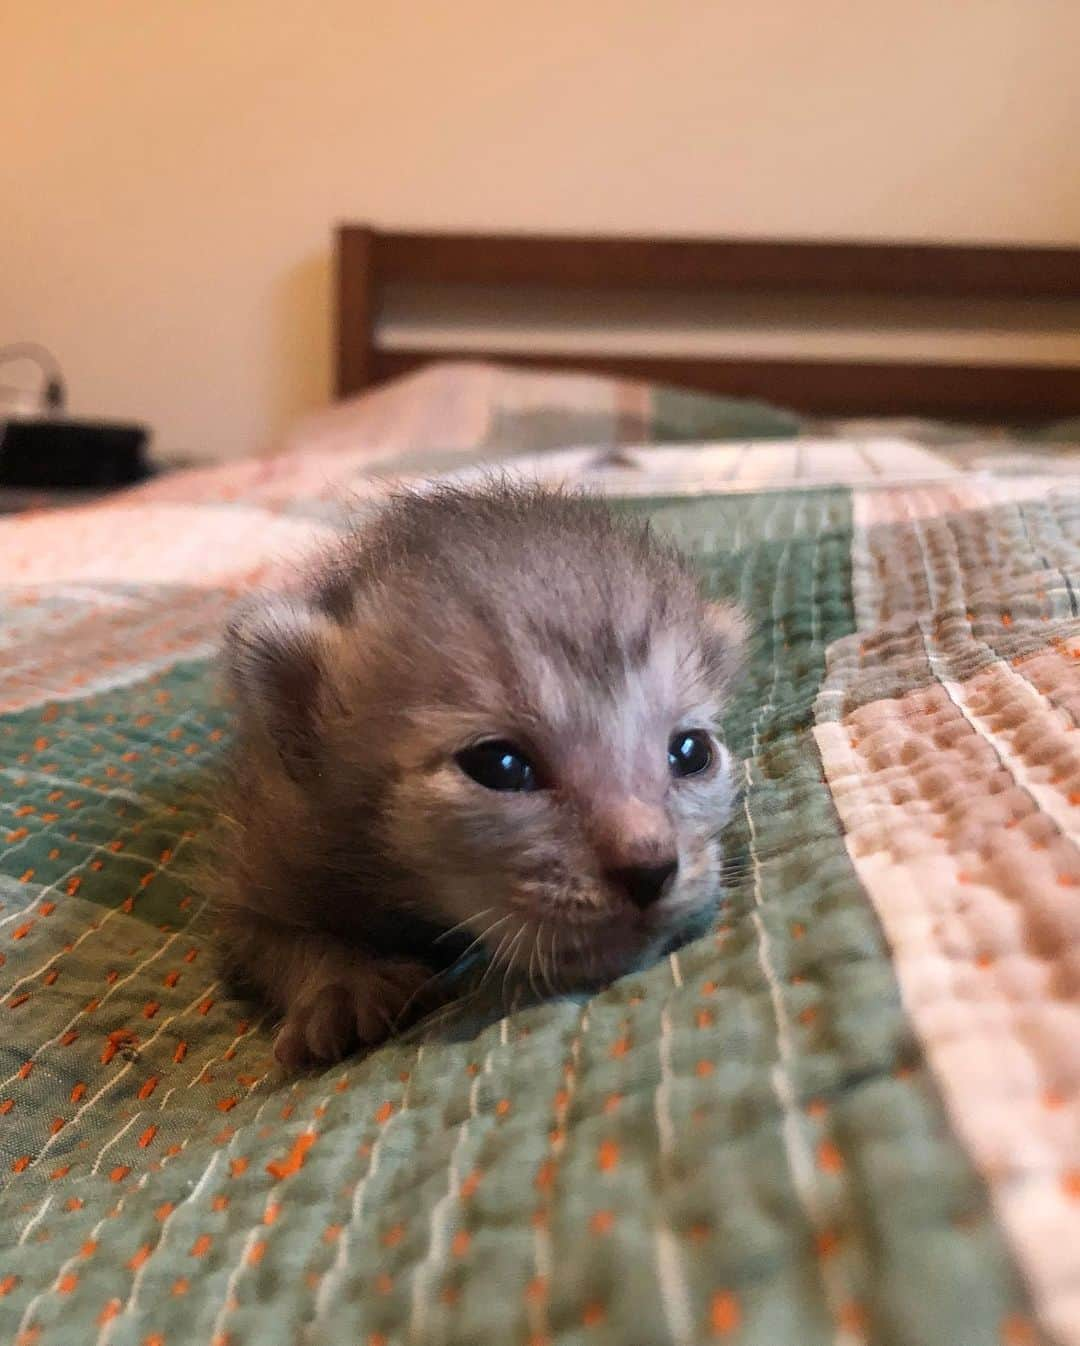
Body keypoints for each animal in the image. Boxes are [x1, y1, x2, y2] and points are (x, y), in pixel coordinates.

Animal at [210, 484, 743, 1071]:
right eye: (500, 765)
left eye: (691, 753)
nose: (649, 869)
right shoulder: (274, 837)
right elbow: (262, 935)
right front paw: (343, 985)